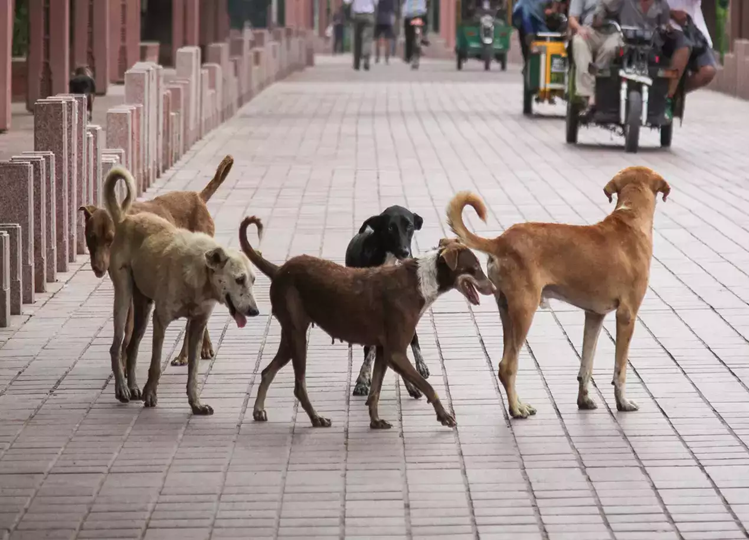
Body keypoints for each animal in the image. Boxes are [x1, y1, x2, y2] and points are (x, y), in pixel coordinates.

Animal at [78, 155, 231, 368]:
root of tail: (198, 197)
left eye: (111, 239)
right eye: (91, 237)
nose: (98, 268)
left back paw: (191, 351)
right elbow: (127, 329)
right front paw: (124, 361)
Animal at [103, 165, 258, 414]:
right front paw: (150, 395)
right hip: (124, 298)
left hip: (143, 306)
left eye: (253, 280)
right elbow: (156, 364)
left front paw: (196, 403)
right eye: (239, 279)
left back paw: (134, 387)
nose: (255, 311)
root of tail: (125, 218)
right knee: (117, 346)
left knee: (133, 346)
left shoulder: (198, 325)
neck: (200, 278)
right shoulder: (160, 320)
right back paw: (122, 389)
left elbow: (193, 371)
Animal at [448, 167, 668, 420]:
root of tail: (500, 241)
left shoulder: (594, 315)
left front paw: (584, 399)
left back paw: (519, 404)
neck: (630, 217)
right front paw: (622, 402)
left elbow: (586, 363)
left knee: (506, 362)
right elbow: (620, 368)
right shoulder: (627, 315)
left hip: (506, 311)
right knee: (507, 366)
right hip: (525, 310)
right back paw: (516, 409)